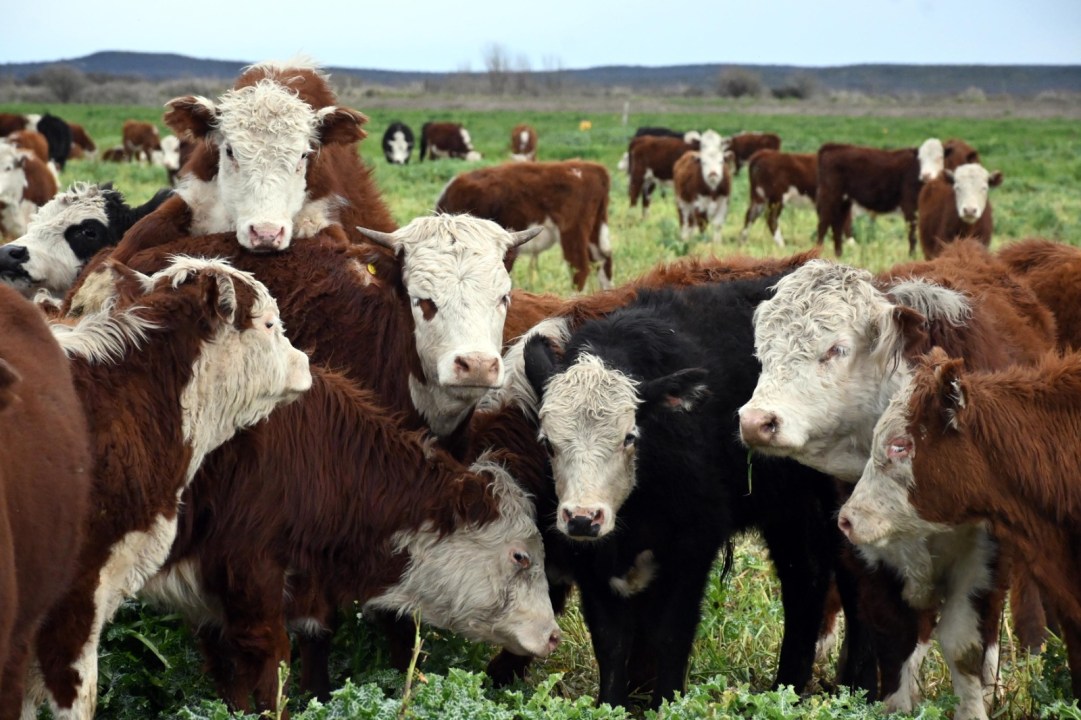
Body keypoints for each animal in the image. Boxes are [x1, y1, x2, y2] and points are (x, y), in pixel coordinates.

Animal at [521, 276, 858, 709]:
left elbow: (671, 634)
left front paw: (667, 703)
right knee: (806, 580)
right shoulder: (592, 561)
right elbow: (611, 642)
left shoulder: (694, 546)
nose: (582, 517)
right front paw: (610, 706)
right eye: (548, 443)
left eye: (629, 437)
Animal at [738, 242, 1057, 719]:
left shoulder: (986, 554)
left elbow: (964, 644)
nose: (756, 421)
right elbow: (895, 640)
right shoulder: (865, 553)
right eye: (763, 353)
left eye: (835, 349)